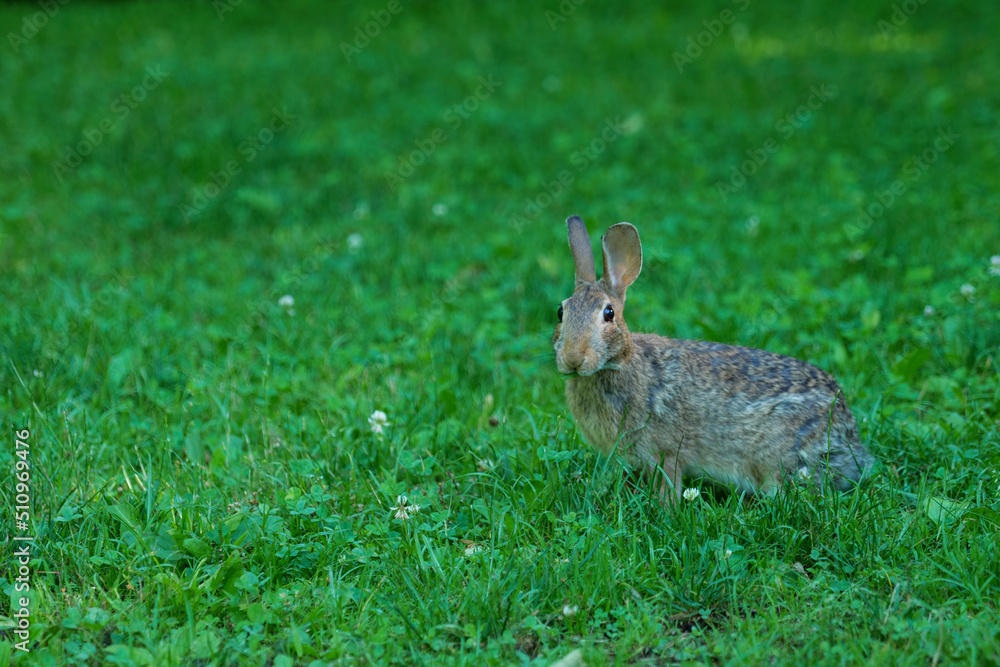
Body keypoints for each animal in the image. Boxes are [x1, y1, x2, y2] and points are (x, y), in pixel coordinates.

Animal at [552, 215, 874, 502]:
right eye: (560, 311)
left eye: (609, 314)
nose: (573, 358)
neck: (620, 364)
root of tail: (850, 438)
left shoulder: (666, 451)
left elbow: (669, 484)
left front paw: (666, 511)